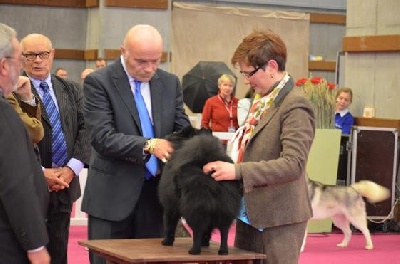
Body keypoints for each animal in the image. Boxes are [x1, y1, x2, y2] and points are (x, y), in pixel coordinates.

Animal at [159, 127, 241, 255]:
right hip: (225, 210)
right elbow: (207, 231)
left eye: (180, 132)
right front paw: (205, 243)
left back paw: (194, 250)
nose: (171, 133)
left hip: (196, 209)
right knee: (224, 232)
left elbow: (169, 226)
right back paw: (223, 251)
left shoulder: (170, 207)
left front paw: (166, 242)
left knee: (197, 230)